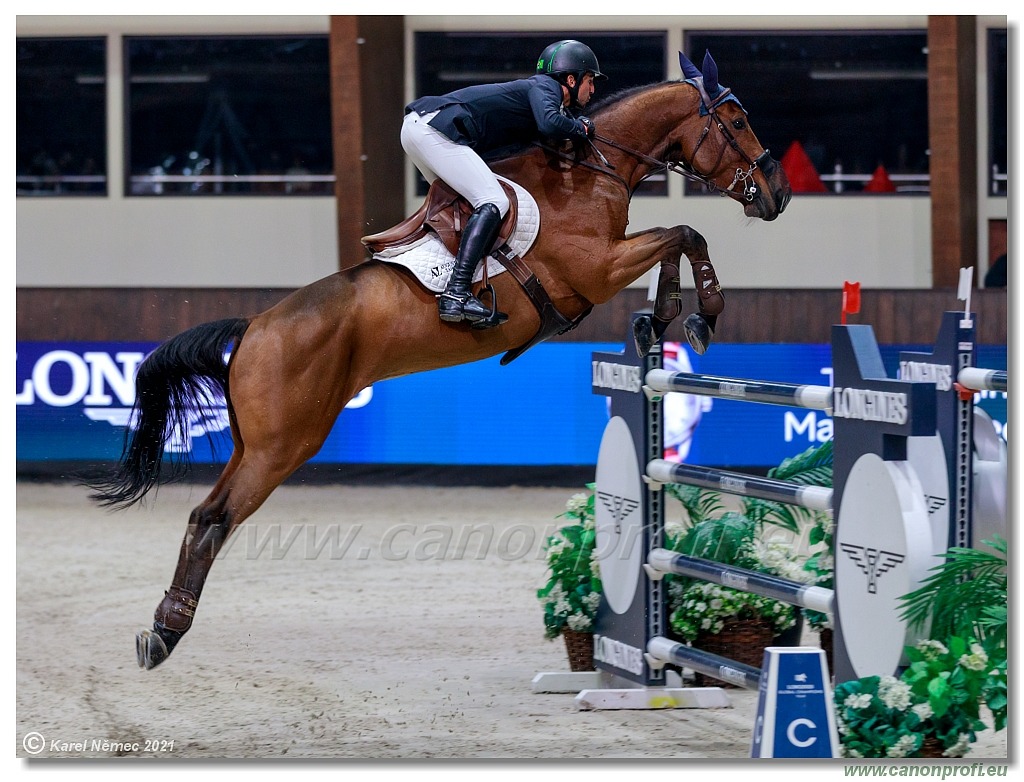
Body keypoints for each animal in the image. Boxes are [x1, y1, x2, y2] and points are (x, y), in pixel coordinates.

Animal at [86, 51, 790, 667]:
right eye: (736, 121)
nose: (777, 194)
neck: (593, 167)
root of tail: (255, 327)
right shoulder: (595, 269)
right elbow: (682, 232)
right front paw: (701, 312)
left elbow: (676, 238)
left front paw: (667, 316)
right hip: (282, 446)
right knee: (213, 517)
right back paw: (165, 632)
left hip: (253, 442)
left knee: (206, 513)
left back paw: (162, 628)